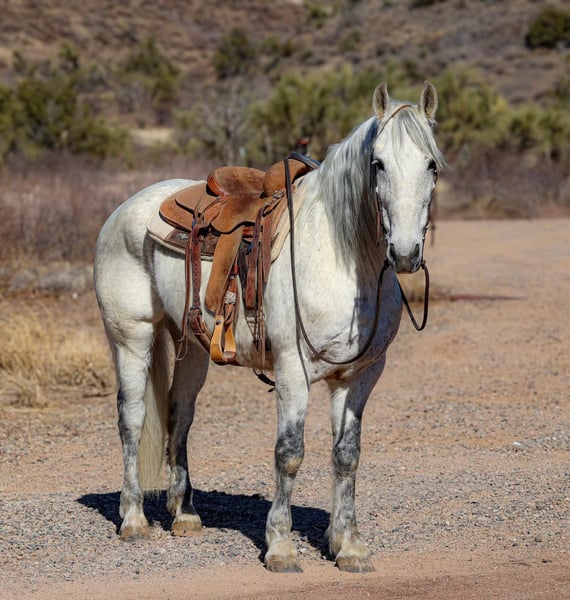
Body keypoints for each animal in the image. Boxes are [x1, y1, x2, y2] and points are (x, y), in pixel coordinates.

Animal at [93, 81, 445, 573]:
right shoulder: (293, 371)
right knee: (132, 419)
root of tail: (123, 211)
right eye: (378, 163)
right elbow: (290, 453)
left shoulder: (360, 375)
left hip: (193, 346)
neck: (342, 257)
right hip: (133, 337)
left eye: (432, 164)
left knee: (179, 416)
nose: (406, 252)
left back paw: (185, 514)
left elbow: (347, 456)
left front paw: (348, 545)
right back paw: (133, 518)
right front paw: (280, 546)